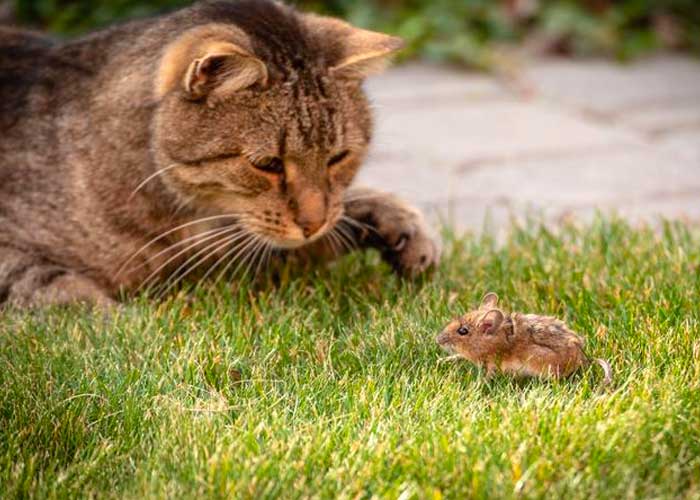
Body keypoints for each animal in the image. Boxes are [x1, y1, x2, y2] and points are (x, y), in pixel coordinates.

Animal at [0, 0, 438, 308]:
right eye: (267, 164)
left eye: (337, 157)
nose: (312, 224)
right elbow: (61, 292)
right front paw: (122, 323)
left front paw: (391, 222)